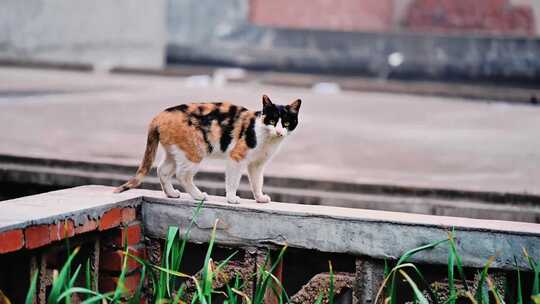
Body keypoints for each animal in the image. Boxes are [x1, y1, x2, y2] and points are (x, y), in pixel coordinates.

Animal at [114, 95, 302, 204]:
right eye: (272, 121)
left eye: (286, 123)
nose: (279, 131)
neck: (265, 136)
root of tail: (159, 116)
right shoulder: (236, 157)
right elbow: (233, 181)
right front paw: (232, 198)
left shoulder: (257, 164)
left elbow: (257, 182)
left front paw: (260, 198)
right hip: (194, 152)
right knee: (182, 175)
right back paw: (198, 196)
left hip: (175, 152)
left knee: (163, 170)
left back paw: (171, 194)